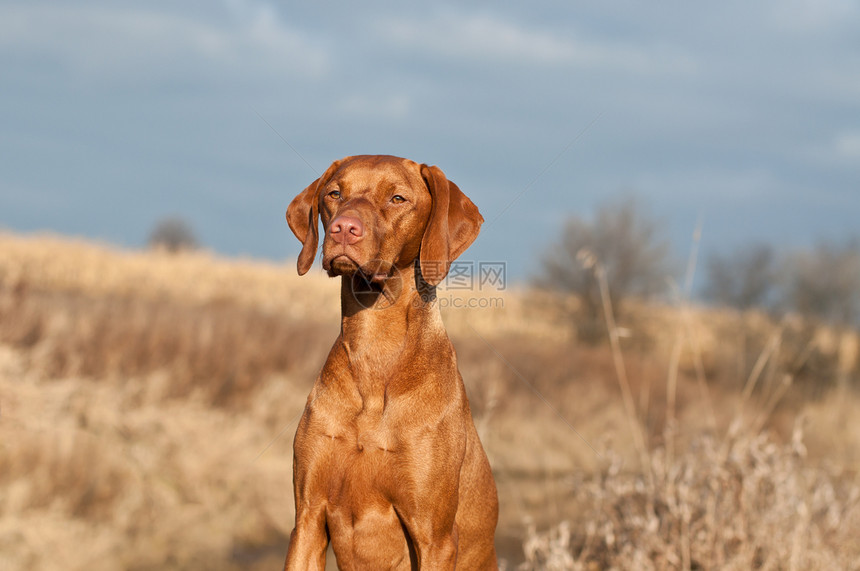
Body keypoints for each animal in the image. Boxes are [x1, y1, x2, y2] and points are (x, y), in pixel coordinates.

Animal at [284, 154, 498, 568]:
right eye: (334, 193)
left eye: (397, 198)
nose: (344, 229)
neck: (374, 350)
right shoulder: (307, 520)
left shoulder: (435, 537)